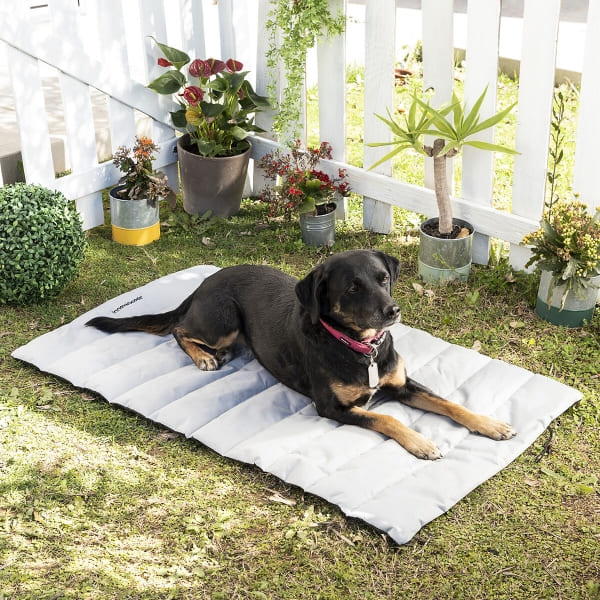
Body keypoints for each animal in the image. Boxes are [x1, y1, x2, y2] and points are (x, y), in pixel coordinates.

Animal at [85, 248, 516, 460]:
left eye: (383, 279)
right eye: (353, 287)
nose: (393, 311)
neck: (360, 347)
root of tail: (203, 282)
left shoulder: (402, 383)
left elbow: (450, 404)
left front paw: (489, 424)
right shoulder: (332, 408)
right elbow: (387, 419)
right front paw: (421, 442)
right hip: (223, 321)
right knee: (179, 330)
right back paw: (203, 356)